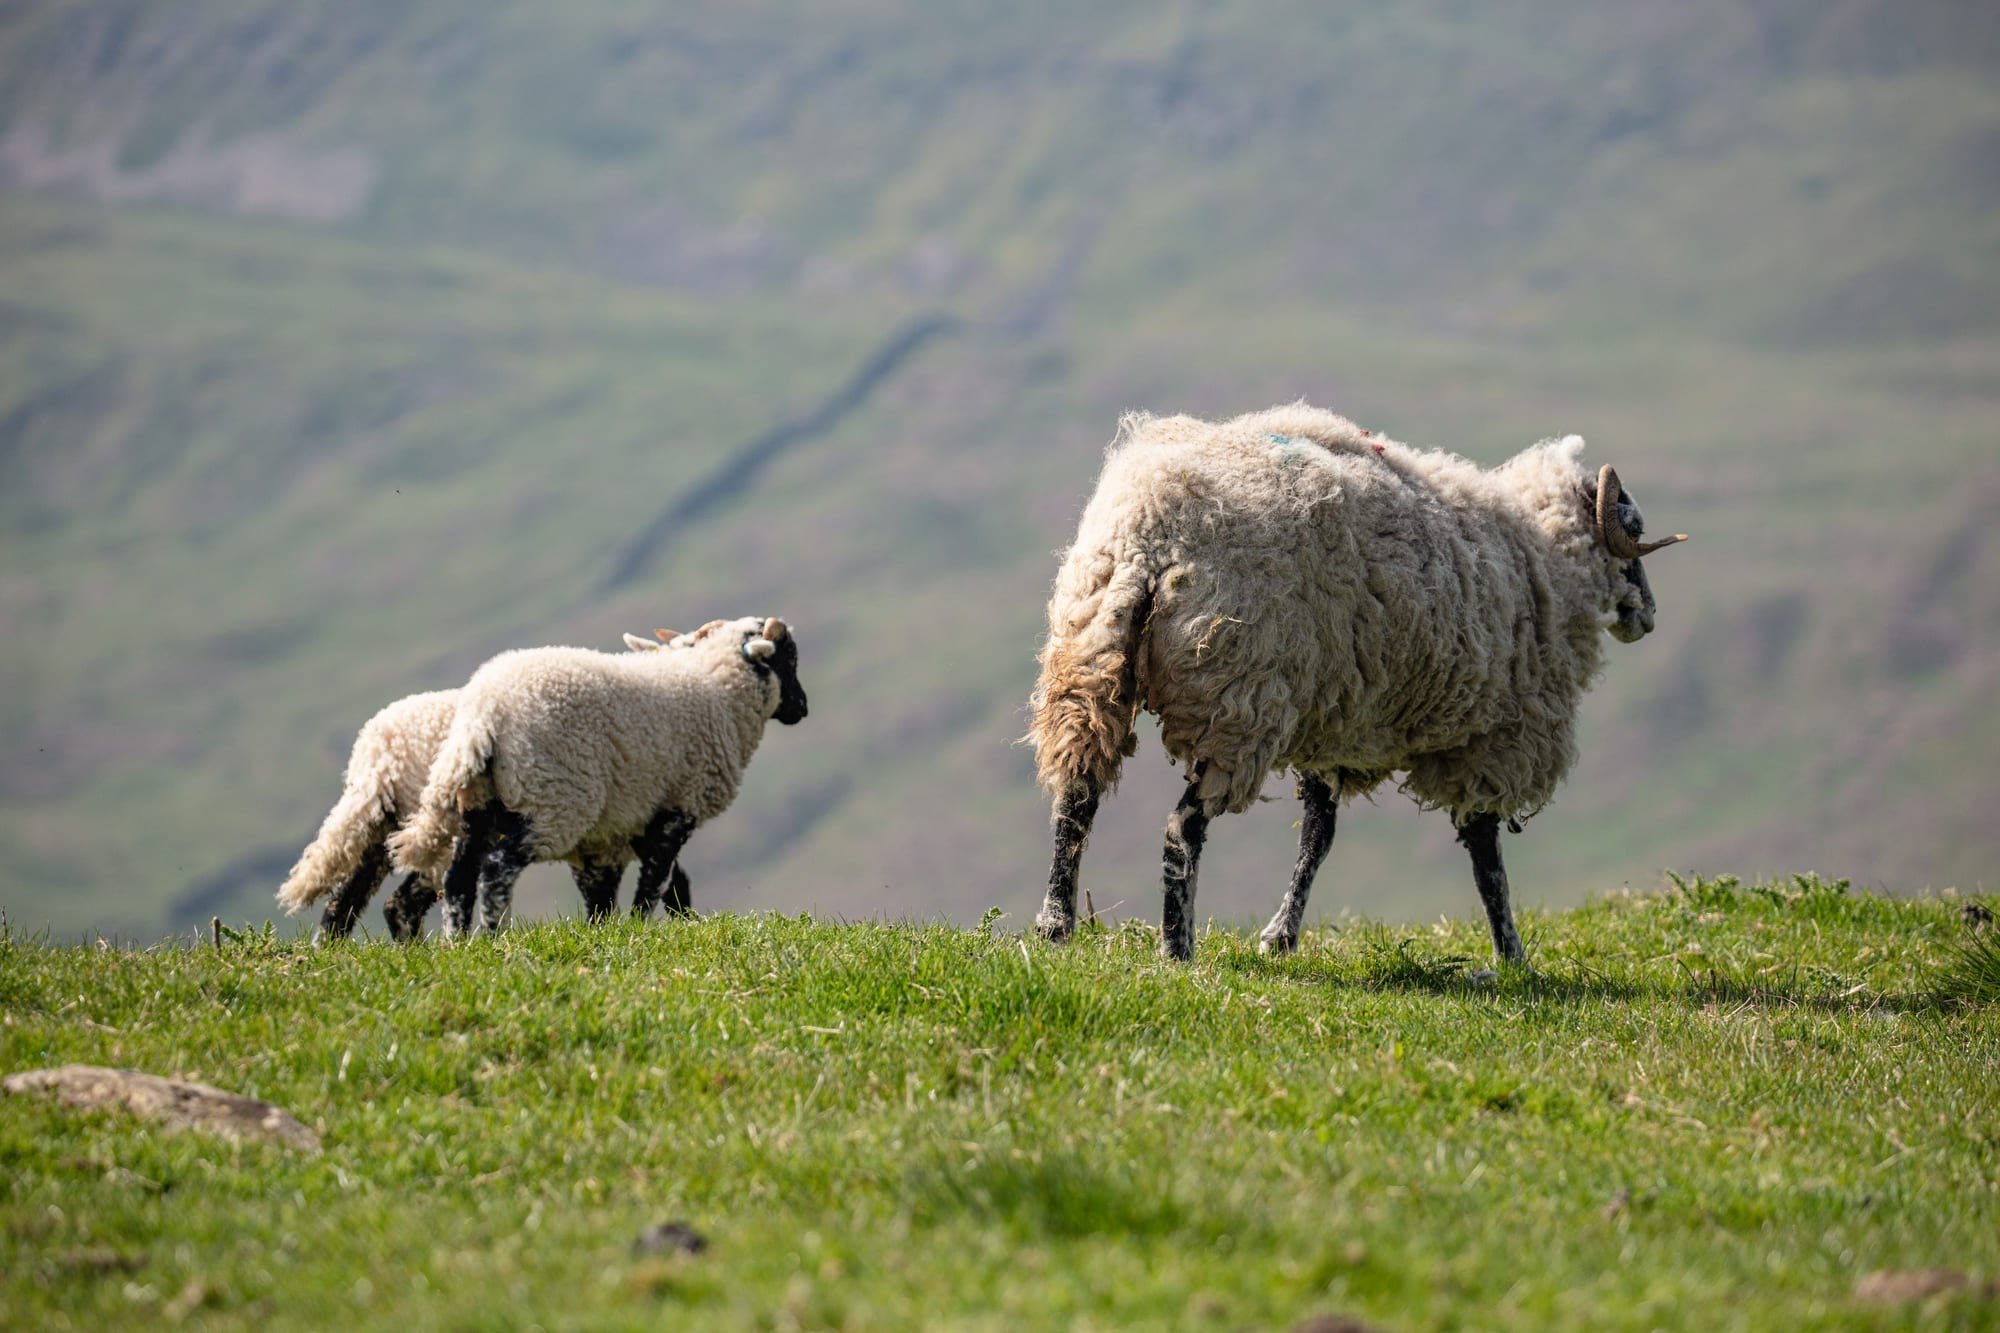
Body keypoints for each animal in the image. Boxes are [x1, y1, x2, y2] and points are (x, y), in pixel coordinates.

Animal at [276, 632, 691, 942]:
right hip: (436, 829)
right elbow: (666, 877)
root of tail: (377, 755)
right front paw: (680, 923)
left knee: (350, 901)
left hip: (386, 827)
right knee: (405, 899)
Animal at [388, 615, 807, 939]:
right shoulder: (677, 808)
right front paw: (641, 929)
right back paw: (494, 936)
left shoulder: (628, 825)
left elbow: (656, 888)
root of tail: (482, 715)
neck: (717, 689)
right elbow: (655, 883)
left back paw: (456, 942)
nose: (802, 708)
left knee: (458, 878)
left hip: (481, 804)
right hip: (552, 801)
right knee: (496, 868)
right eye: (790, 657)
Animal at [1026, 403, 1686, 963]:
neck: (1547, 559)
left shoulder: (1335, 719)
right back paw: (1176, 947)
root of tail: (1150, 529)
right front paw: (1512, 955)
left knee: (1076, 795)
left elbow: (1318, 836)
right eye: (1632, 525)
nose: (1649, 618)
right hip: (1236, 698)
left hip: (1088, 662)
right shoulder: (1490, 740)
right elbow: (1485, 855)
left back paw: (1055, 927)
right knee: (1181, 828)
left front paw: (1280, 937)